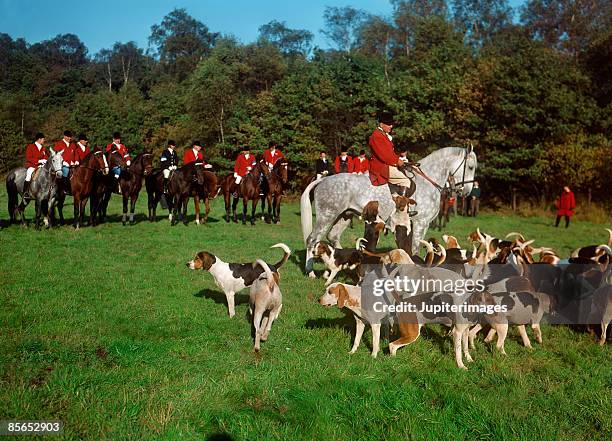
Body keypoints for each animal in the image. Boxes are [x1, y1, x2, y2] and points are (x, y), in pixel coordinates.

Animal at [302, 146, 478, 274]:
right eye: (470, 167)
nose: (466, 192)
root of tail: (323, 179)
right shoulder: (421, 223)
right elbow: (415, 247)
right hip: (327, 215)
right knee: (312, 239)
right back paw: (310, 271)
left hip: (344, 216)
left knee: (333, 236)